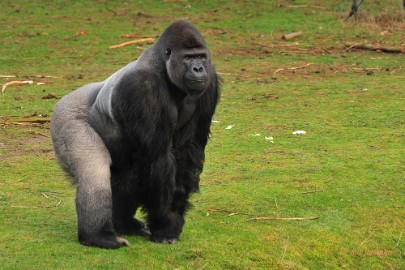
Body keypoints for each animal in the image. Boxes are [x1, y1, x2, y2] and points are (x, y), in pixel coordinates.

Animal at [51, 20, 221, 249]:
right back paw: (98, 236)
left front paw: (172, 218)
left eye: (201, 56)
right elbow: (159, 159)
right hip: (65, 117)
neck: (162, 67)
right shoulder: (143, 87)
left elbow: (187, 152)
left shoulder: (209, 83)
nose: (198, 68)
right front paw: (166, 223)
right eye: (188, 58)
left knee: (127, 173)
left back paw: (123, 223)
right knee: (94, 171)